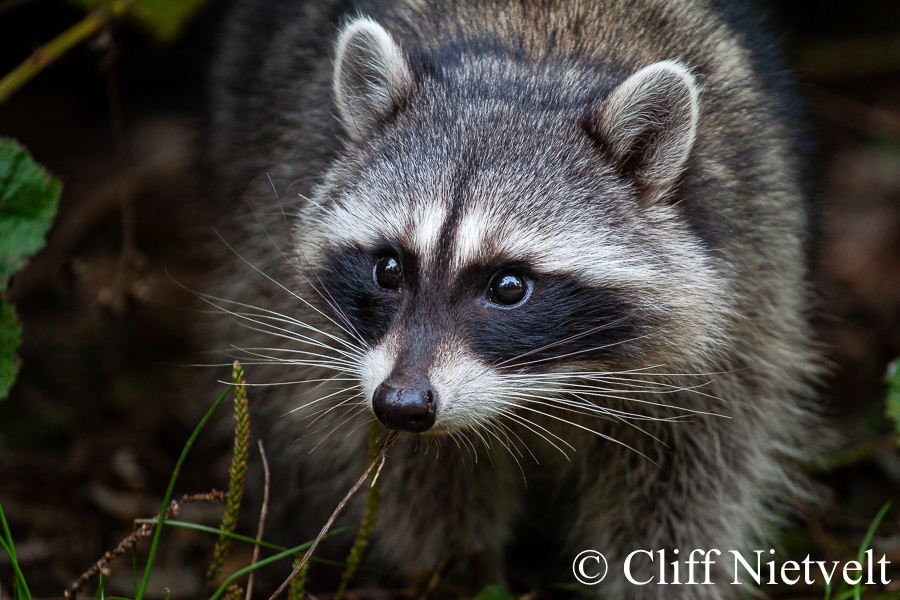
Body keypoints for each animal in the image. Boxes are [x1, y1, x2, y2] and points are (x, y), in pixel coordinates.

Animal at [206, 0, 824, 596]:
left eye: (508, 287)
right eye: (388, 269)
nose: (402, 404)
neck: (532, 68)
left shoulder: (748, 291)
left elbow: (689, 485)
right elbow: (424, 483)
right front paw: (456, 573)